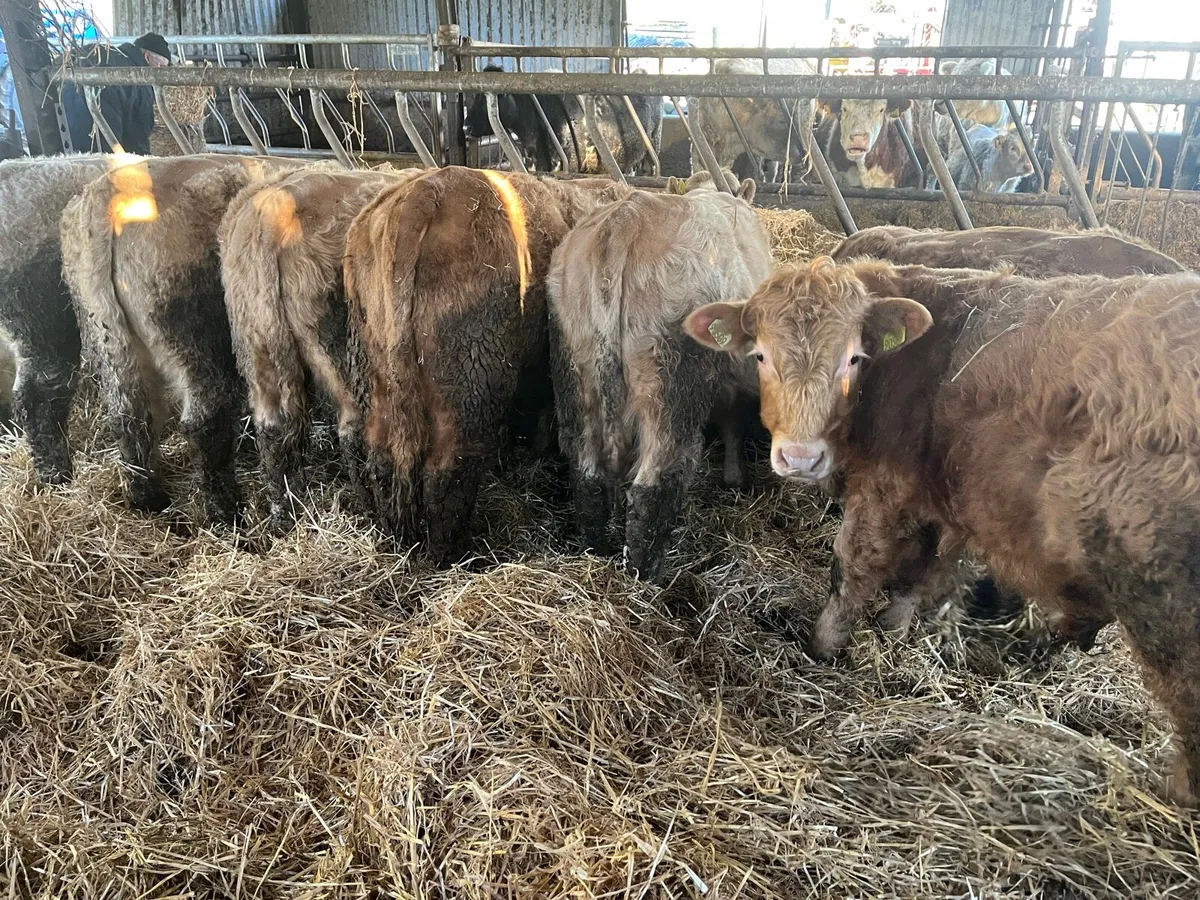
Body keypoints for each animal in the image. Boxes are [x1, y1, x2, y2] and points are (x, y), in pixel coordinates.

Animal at [61, 153, 315, 524]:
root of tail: (106, 199)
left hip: (110, 335)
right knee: (205, 420)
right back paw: (226, 513)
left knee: (129, 416)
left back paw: (150, 501)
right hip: (197, 339)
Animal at [220, 166, 428, 532]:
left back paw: (283, 516)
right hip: (337, 350)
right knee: (352, 427)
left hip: (259, 340)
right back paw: (367, 510)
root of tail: (271, 207)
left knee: (272, 428)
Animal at [343, 167, 631, 563]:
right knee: (448, 471)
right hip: (472, 382)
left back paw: (394, 538)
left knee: (377, 456)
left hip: (376, 371)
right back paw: (451, 556)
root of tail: (423, 193)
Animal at [546, 171, 771, 582]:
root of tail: (626, 219)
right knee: (655, 479)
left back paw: (595, 550)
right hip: (669, 383)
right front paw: (735, 477)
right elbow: (733, 424)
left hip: (573, 366)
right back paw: (646, 575)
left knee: (586, 471)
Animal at [685, 256, 1200, 805]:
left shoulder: (882, 489)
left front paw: (822, 647)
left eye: (853, 358)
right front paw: (892, 634)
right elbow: (921, 574)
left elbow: (854, 567)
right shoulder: (941, 503)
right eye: (760, 354)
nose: (801, 458)